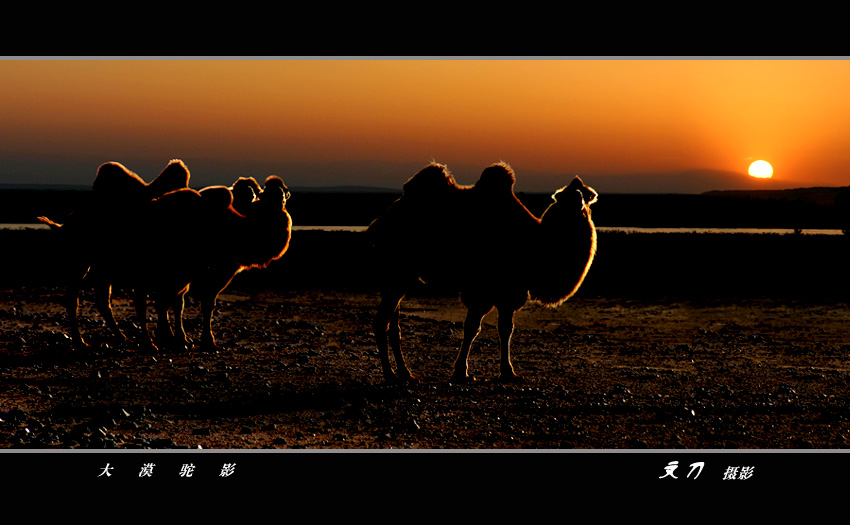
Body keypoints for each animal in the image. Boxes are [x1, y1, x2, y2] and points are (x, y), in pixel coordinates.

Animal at [366, 162, 596, 382]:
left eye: (585, 196)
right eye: (567, 196)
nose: (579, 202)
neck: (536, 243)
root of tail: (378, 225)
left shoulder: (508, 293)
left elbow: (505, 328)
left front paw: (507, 372)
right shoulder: (486, 291)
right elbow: (473, 328)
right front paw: (463, 372)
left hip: (397, 276)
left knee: (393, 325)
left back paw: (406, 374)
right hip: (397, 272)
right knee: (381, 322)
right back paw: (390, 375)